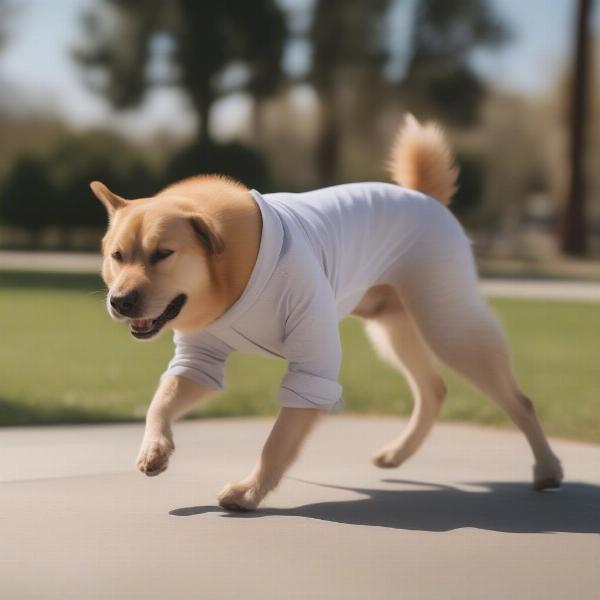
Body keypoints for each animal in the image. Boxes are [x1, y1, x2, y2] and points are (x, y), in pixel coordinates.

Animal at [90, 116, 564, 510]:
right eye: (117, 255)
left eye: (163, 254)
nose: (119, 301)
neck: (230, 281)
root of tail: (423, 196)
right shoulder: (199, 359)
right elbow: (161, 401)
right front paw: (154, 449)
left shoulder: (312, 365)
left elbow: (277, 441)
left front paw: (249, 492)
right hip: (395, 330)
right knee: (434, 390)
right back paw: (398, 453)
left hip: (447, 325)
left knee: (518, 400)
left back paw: (547, 469)